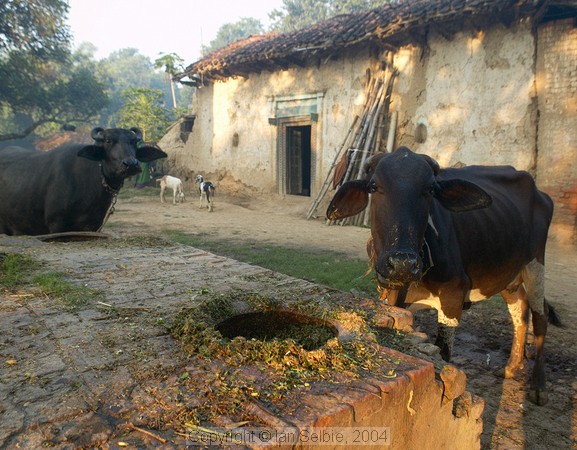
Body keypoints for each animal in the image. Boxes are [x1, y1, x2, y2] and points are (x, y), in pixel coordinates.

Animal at [328, 147, 560, 404]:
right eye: (374, 186)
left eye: (430, 189)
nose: (402, 264)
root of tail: (540, 193)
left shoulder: (453, 296)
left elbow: (443, 353)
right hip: (508, 273)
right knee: (520, 308)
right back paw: (512, 366)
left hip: (535, 263)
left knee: (540, 316)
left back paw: (538, 385)